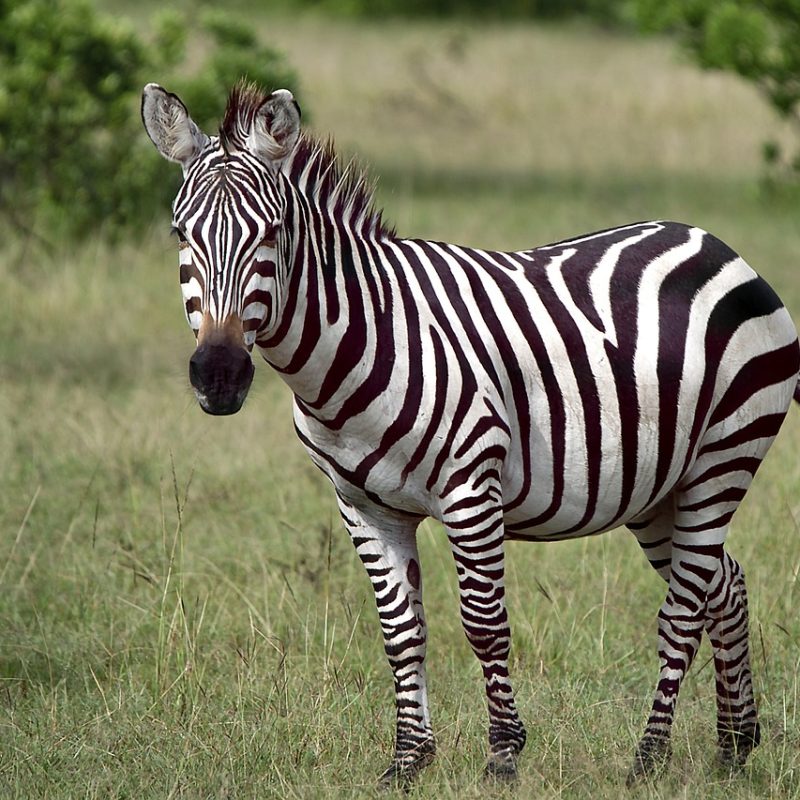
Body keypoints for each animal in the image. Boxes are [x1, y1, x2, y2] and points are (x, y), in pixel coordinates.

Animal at [142, 80, 800, 786]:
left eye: (271, 233)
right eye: (180, 233)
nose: (219, 375)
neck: (363, 338)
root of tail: (715, 243)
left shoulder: (470, 489)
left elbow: (485, 624)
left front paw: (504, 753)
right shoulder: (362, 505)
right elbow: (401, 631)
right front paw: (408, 759)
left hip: (722, 459)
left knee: (682, 610)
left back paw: (649, 758)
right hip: (655, 487)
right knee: (722, 586)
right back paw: (735, 745)